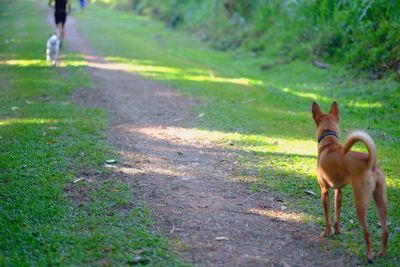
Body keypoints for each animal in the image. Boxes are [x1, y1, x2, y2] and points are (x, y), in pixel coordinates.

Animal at [312, 101, 388, 262]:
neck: (329, 142)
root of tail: (370, 161)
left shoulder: (324, 191)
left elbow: (327, 217)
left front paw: (326, 233)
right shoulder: (338, 191)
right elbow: (337, 215)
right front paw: (337, 232)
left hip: (360, 203)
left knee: (367, 233)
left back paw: (369, 256)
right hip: (381, 201)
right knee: (385, 230)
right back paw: (382, 253)